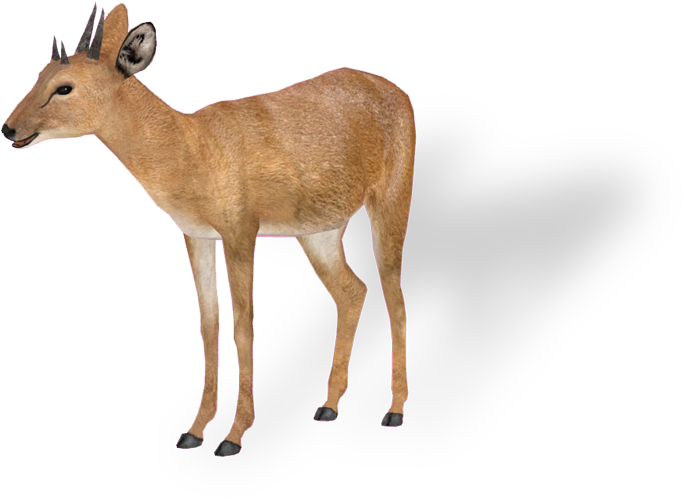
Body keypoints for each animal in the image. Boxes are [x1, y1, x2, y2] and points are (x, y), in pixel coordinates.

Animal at [3, 3, 414, 456]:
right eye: (40, 73)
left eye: (65, 87)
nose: (9, 129)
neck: (190, 149)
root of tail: (395, 90)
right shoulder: (196, 235)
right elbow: (207, 325)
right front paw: (195, 430)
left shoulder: (241, 233)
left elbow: (242, 326)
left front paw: (233, 435)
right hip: (318, 232)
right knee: (352, 290)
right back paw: (328, 406)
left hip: (389, 202)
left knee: (394, 294)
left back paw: (394, 411)